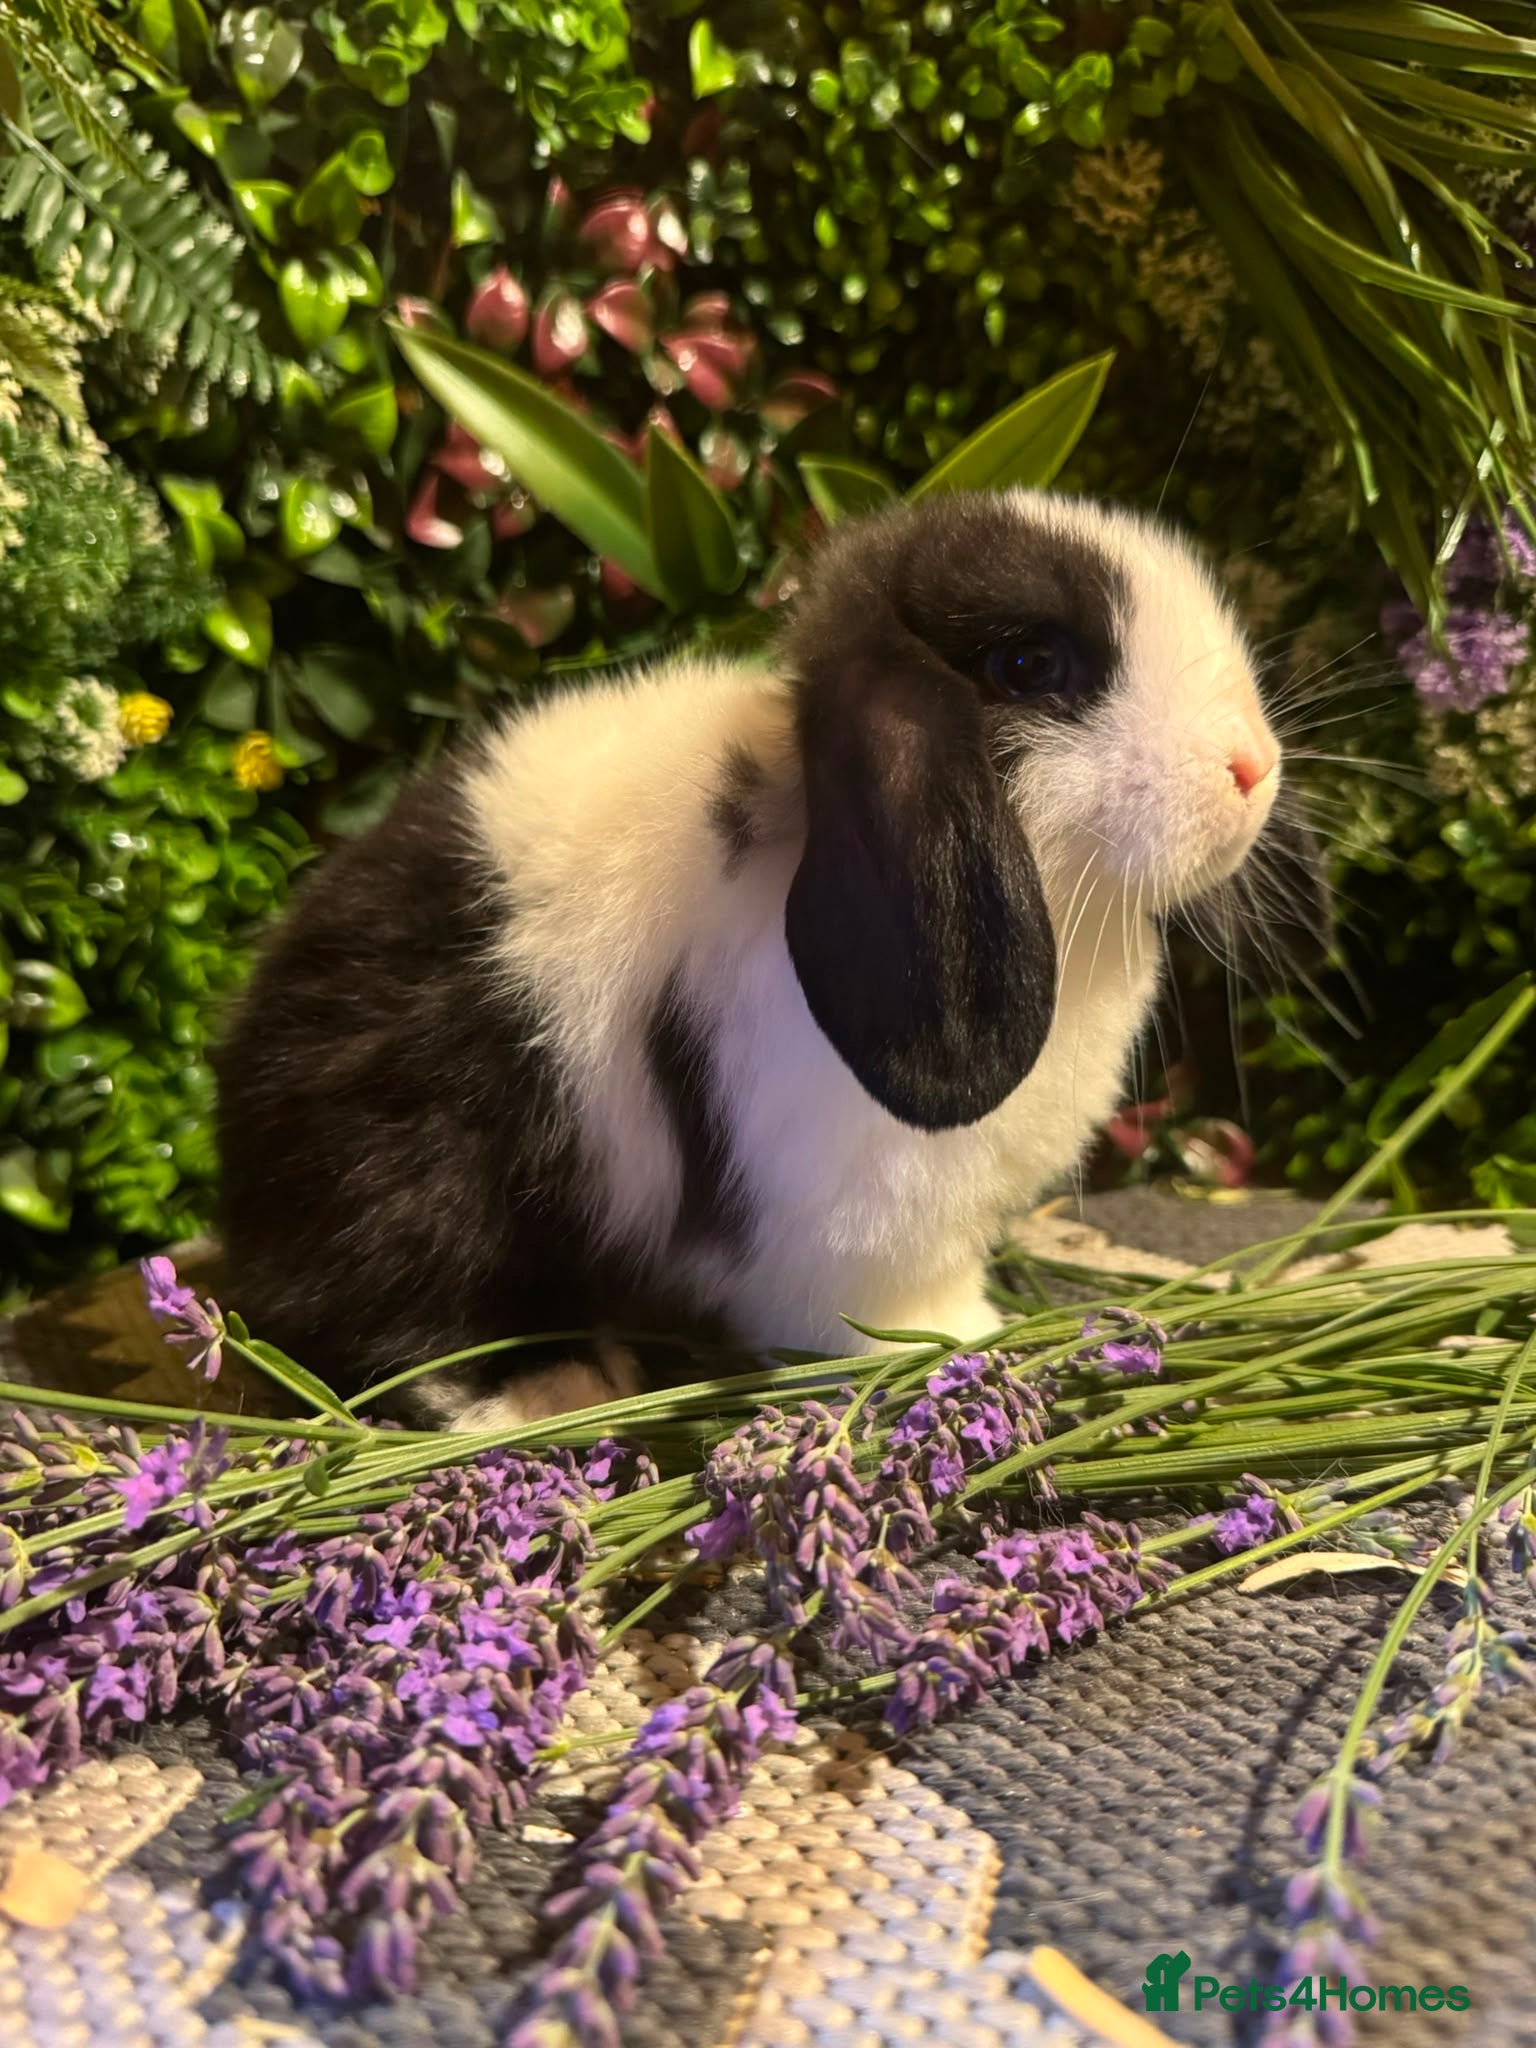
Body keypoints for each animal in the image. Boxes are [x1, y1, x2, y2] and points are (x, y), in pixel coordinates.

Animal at [215, 488, 1324, 1428]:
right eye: (1031, 668)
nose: (1252, 767)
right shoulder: (858, 1215)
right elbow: (890, 1309)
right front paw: (972, 1344)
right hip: (414, 1173)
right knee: (388, 1320)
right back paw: (548, 1386)